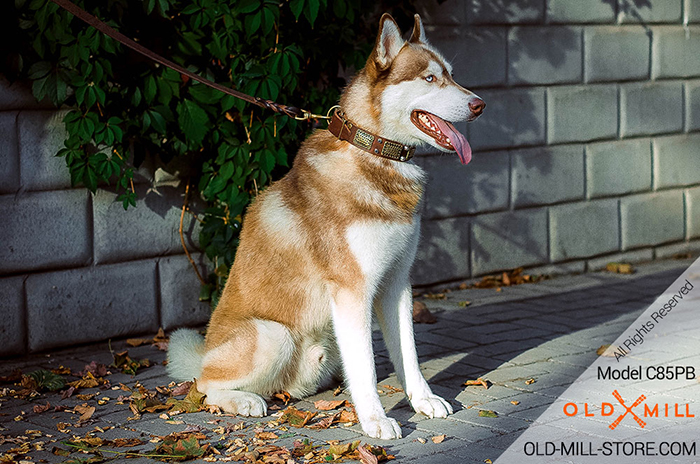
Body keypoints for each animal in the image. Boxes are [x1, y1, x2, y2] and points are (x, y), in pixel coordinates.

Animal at [169, 11, 484, 438]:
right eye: (430, 78)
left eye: (451, 74)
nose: (480, 104)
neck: (374, 152)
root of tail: (204, 352)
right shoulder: (352, 291)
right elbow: (366, 369)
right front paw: (375, 419)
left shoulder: (396, 283)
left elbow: (409, 354)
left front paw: (423, 400)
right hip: (273, 334)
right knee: (204, 385)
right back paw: (243, 401)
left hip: (326, 346)